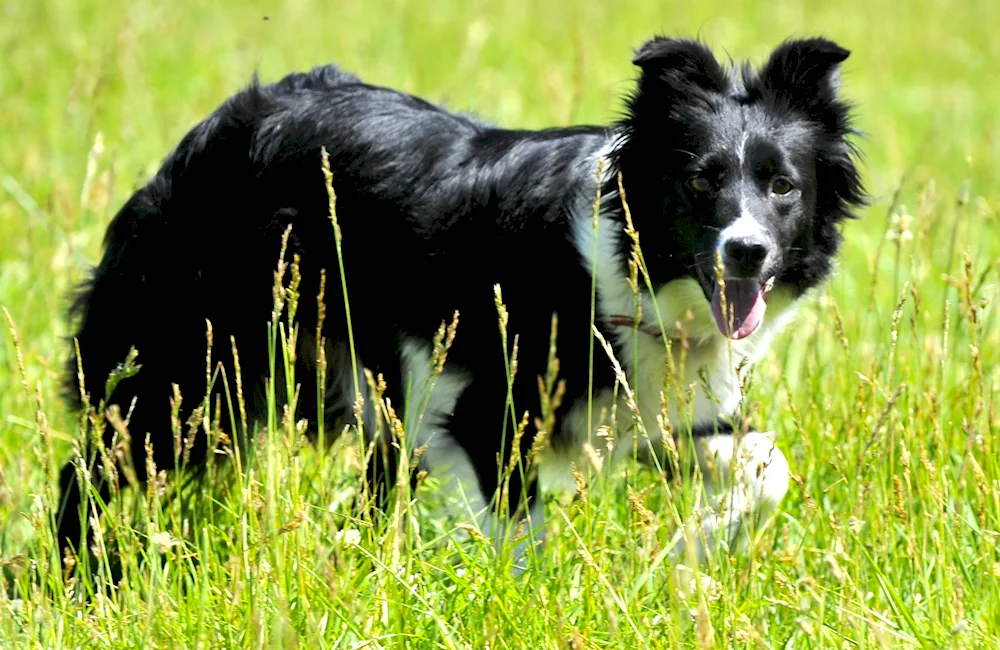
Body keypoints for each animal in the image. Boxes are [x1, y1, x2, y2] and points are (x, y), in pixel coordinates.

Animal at [58, 36, 864, 560]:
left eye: (783, 186)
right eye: (701, 181)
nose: (746, 251)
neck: (629, 269)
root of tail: (225, 120)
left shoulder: (653, 409)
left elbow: (768, 466)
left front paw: (691, 557)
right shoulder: (491, 409)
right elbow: (524, 535)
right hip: (189, 361)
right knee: (95, 463)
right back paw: (81, 576)